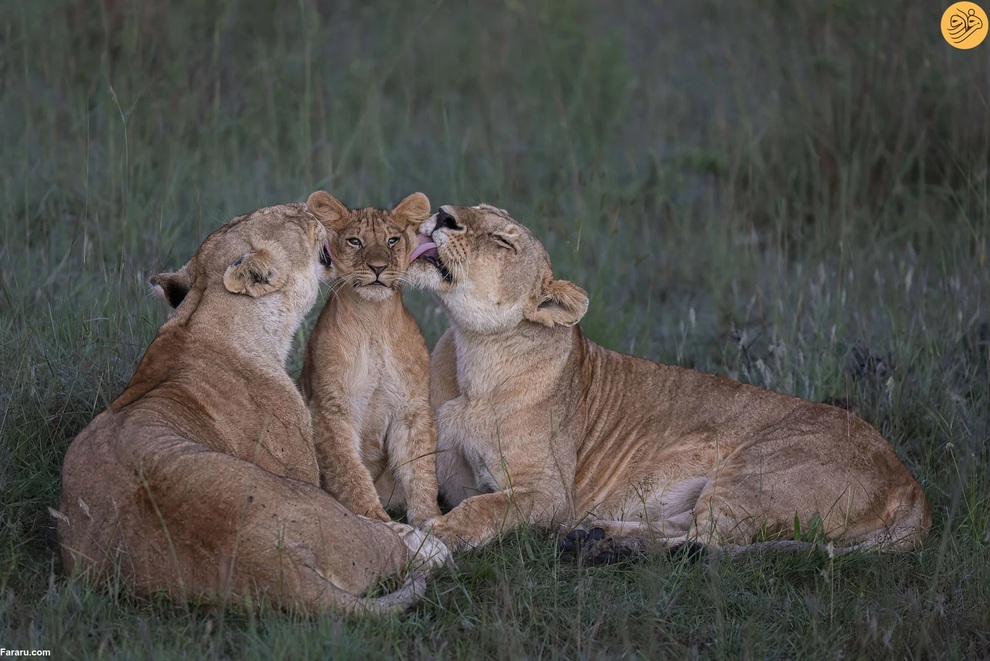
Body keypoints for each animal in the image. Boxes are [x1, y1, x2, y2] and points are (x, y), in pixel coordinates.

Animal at [298, 189, 442, 524]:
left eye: (392, 240)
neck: (373, 322)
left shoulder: (411, 409)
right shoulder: (330, 408)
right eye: (355, 241)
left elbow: (420, 469)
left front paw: (430, 520)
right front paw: (373, 517)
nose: (378, 267)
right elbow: (349, 469)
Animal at [406, 204, 932, 556]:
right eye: (474, 207)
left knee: (705, 546)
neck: (474, 354)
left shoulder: (550, 493)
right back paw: (595, 535)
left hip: (752, 472)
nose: (444, 214)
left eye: (503, 242)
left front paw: (439, 534)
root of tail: (911, 485)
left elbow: (483, 508)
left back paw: (596, 544)